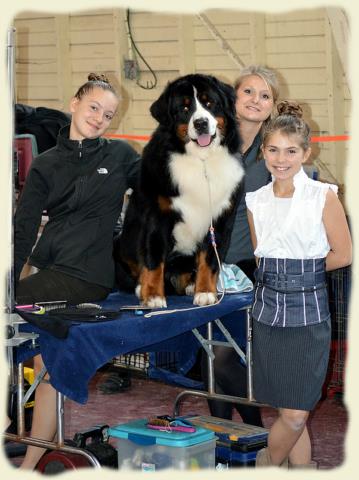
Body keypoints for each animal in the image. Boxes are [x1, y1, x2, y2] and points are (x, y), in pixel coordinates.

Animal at [114, 74, 245, 308]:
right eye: (184, 108)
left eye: (209, 103)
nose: (201, 123)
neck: (201, 161)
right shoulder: (157, 216)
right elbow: (153, 258)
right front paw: (153, 296)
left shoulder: (219, 220)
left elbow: (209, 259)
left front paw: (205, 291)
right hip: (120, 240)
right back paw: (141, 288)